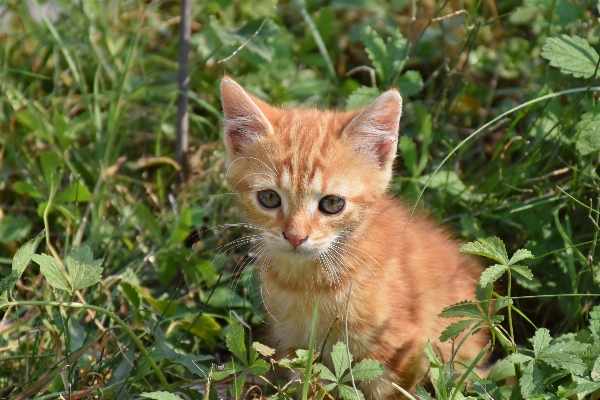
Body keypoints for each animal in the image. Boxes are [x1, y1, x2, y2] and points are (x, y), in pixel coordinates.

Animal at [220, 76, 488, 398]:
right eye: (269, 198)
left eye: (332, 204)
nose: (295, 237)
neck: (310, 284)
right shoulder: (293, 346)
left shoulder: (397, 350)